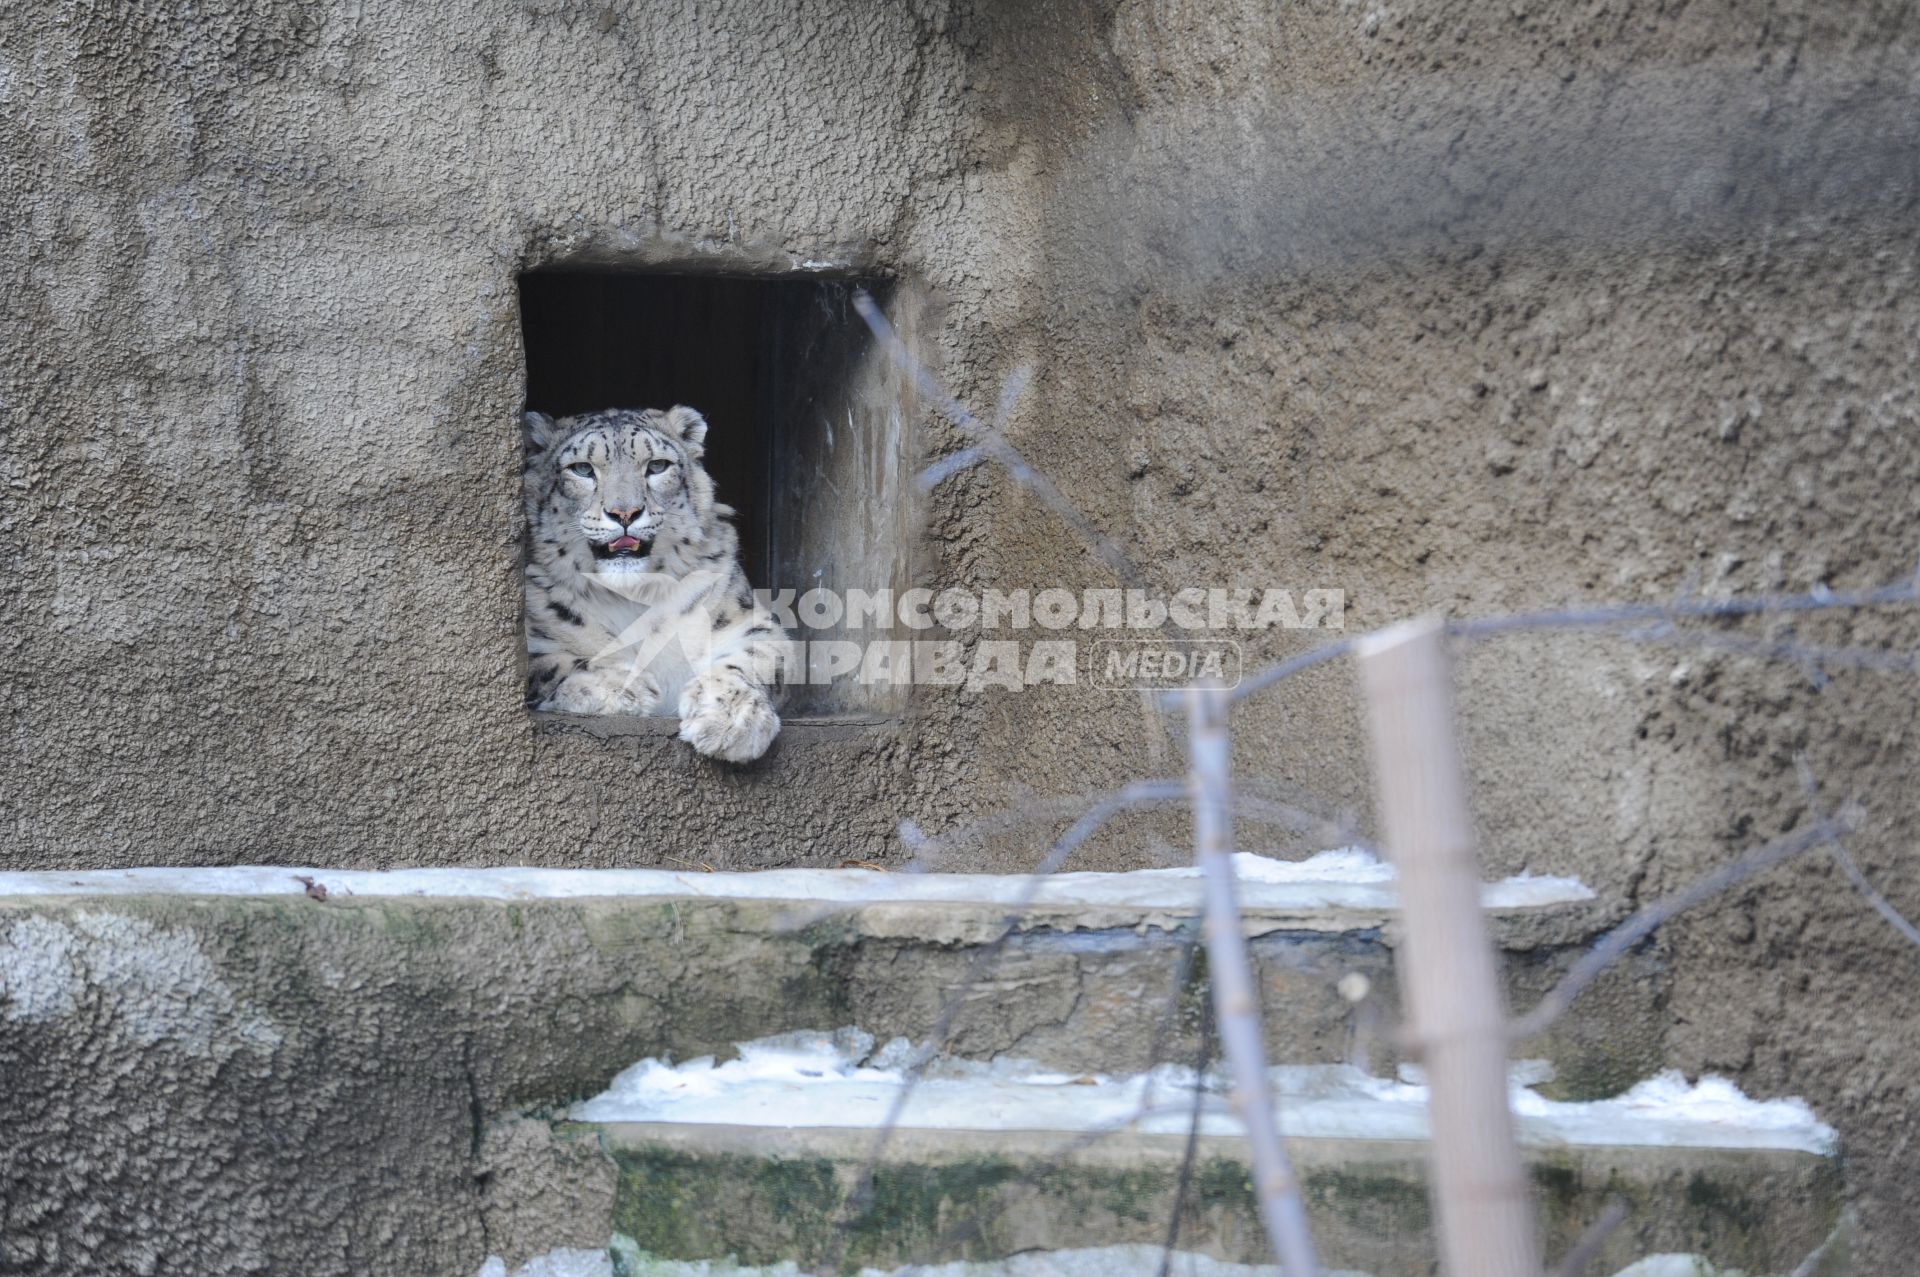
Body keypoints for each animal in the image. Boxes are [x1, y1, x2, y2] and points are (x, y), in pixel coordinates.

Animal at [518, 403, 787, 760]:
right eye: (582, 469)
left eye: (657, 465)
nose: (625, 513)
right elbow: (544, 663)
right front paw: (625, 686)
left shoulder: (746, 620)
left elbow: (757, 658)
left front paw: (732, 717)